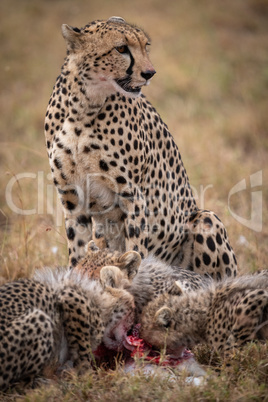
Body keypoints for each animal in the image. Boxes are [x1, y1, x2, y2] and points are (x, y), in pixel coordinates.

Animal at [0, 266, 134, 390]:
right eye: (132, 312)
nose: (131, 329)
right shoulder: (70, 297)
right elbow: (83, 350)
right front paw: (89, 377)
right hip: (39, 319)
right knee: (18, 386)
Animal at [45, 15, 238, 280]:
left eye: (145, 46)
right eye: (121, 49)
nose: (150, 73)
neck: (84, 106)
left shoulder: (133, 196)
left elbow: (136, 248)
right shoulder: (73, 197)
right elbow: (78, 249)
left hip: (206, 219)